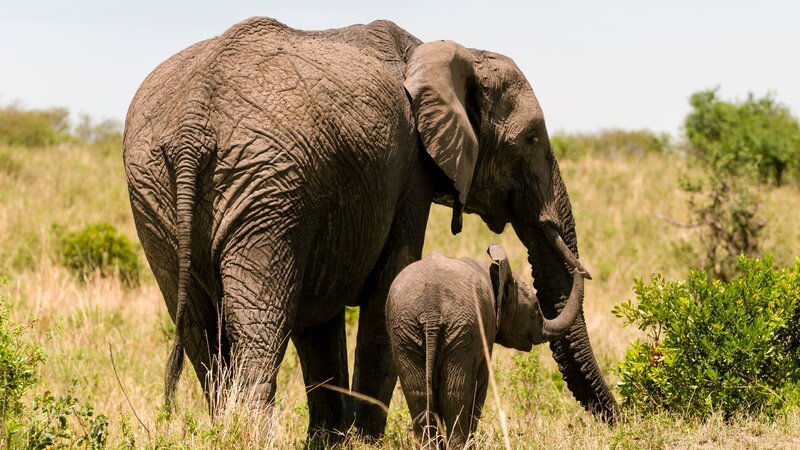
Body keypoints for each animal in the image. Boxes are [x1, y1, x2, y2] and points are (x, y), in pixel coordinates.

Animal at [386, 244, 583, 448]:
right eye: (535, 312)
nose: (580, 270)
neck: (494, 270)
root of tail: (431, 312)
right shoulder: (484, 329)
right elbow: (480, 384)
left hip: (407, 331)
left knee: (419, 393)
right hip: (459, 328)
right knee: (455, 393)